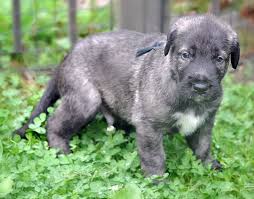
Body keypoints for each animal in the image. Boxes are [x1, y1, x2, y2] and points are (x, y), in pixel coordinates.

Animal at [14, 15, 239, 176]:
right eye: (185, 55)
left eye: (219, 59)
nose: (201, 86)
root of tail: (67, 56)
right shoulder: (149, 127)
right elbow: (155, 157)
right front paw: (157, 182)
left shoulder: (204, 122)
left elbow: (203, 147)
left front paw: (210, 166)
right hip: (85, 99)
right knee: (54, 122)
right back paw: (61, 150)